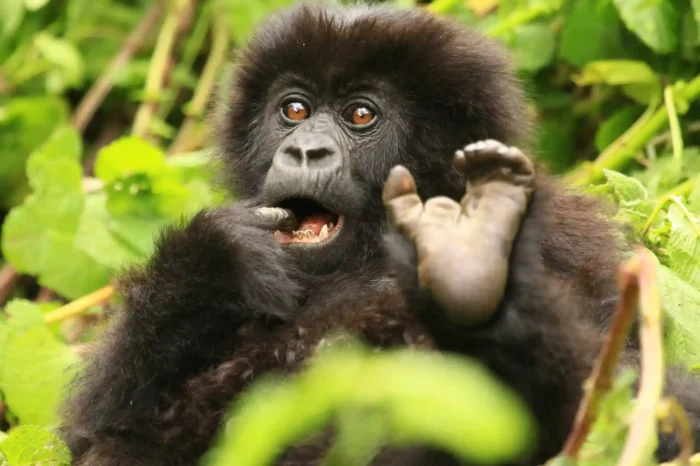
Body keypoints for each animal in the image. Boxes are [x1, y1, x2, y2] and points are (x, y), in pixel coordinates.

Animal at [59, 3, 700, 465]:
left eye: (360, 116)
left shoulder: (577, 247)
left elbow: (648, 402)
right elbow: (96, 428)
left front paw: (469, 267)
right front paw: (207, 265)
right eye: (294, 109)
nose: (304, 150)